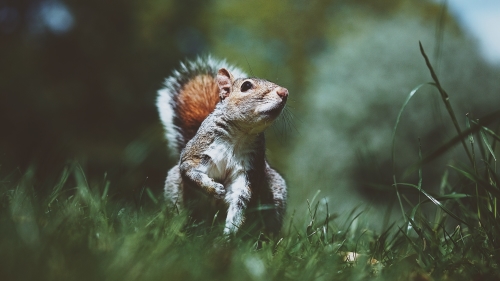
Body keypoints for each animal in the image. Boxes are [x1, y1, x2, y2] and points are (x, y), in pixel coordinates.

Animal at [156, 55, 290, 235]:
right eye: (246, 86)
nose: (284, 92)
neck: (240, 133)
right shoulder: (197, 153)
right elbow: (191, 172)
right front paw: (213, 188)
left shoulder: (248, 170)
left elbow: (239, 203)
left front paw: (229, 235)